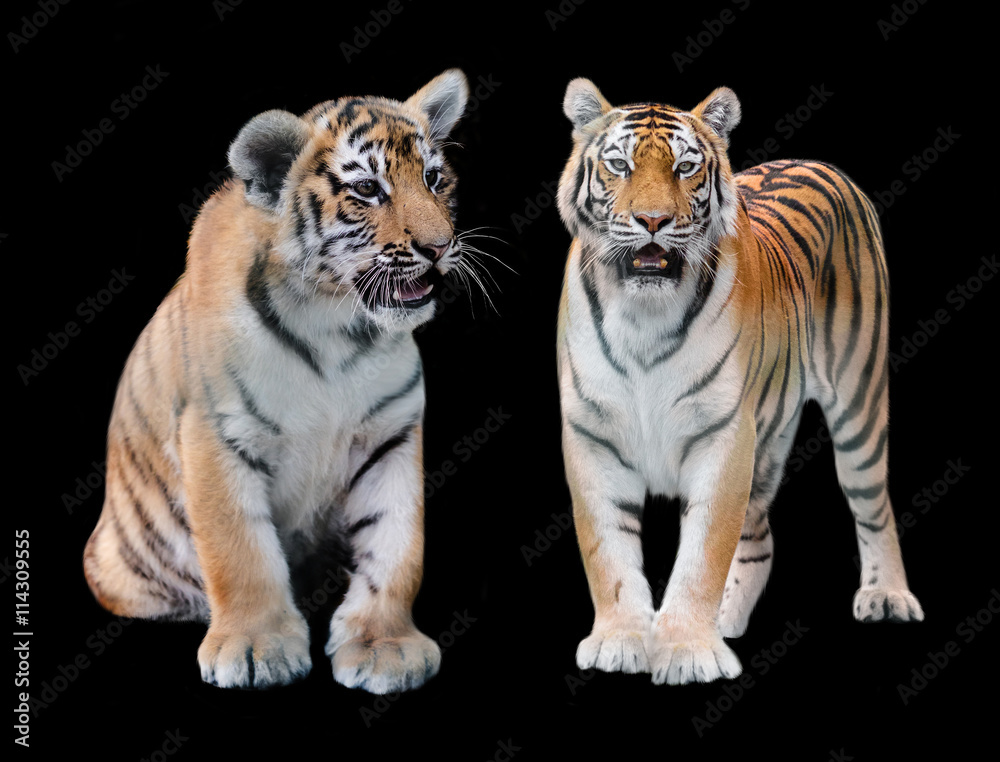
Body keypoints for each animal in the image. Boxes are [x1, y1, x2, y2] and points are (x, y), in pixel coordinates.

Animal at [83, 69, 473, 694]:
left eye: (434, 179)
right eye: (368, 190)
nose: (439, 248)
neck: (338, 326)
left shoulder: (391, 435)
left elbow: (397, 546)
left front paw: (384, 646)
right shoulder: (216, 434)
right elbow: (240, 551)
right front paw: (255, 649)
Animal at [555, 78, 923, 685]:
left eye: (684, 167)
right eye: (619, 164)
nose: (652, 221)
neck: (642, 318)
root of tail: (817, 161)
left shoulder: (723, 435)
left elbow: (702, 554)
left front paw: (685, 650)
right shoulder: (593, 436)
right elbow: (608, 553)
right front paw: (622, 641)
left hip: (858, 403)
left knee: (874, 506)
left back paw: (887, 596)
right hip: (771, 436)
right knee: (759, 539)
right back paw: (727, 620)